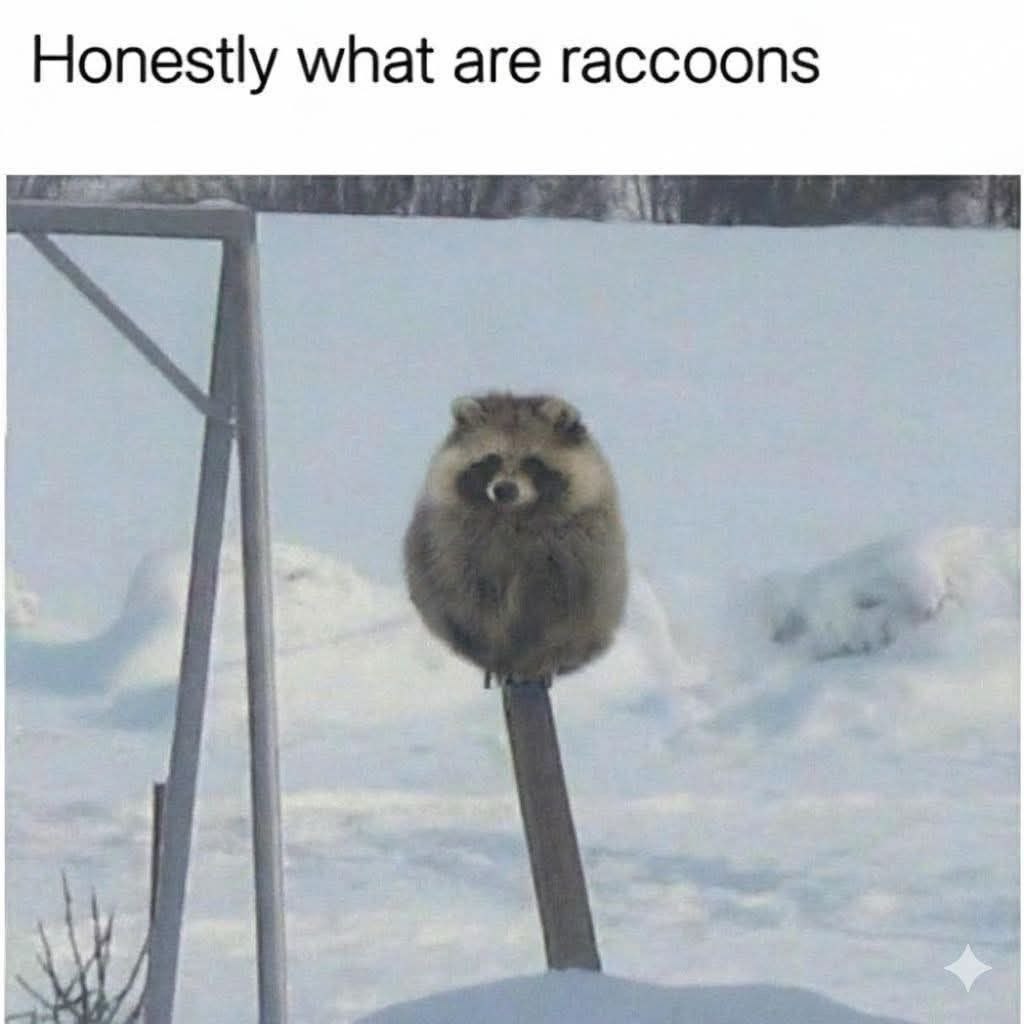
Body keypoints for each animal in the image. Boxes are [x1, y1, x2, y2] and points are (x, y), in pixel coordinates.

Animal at [404, 392, 628, 685]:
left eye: (532, 461)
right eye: (491, 459)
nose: (504, 490)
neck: (513, 515)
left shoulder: (578, 553)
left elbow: (559, 613)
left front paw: (538, 661)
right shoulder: (453, 546)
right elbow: (469, 602)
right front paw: (493, 654)